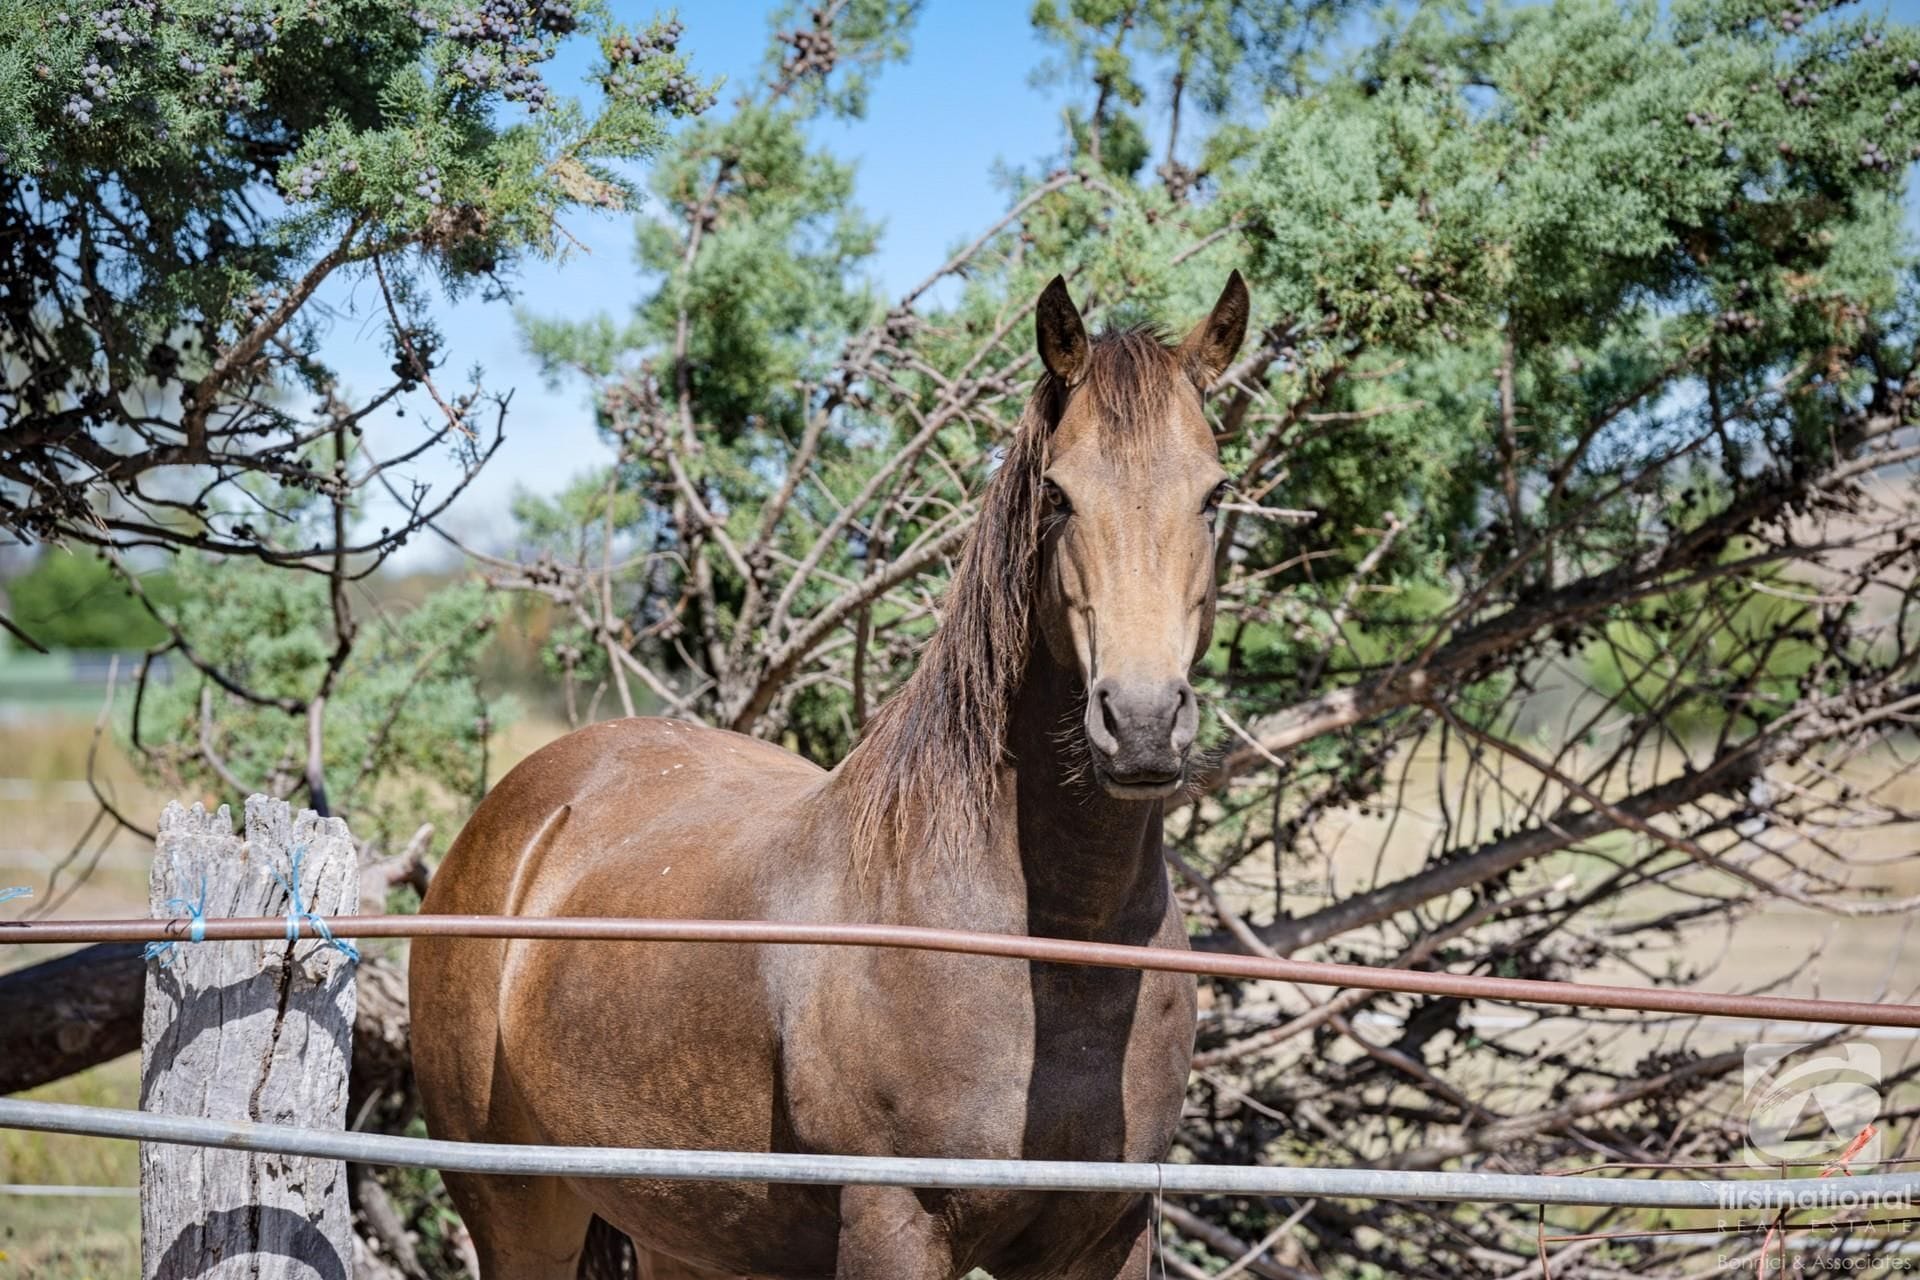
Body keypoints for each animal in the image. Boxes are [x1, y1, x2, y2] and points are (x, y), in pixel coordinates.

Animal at [412, 272, 1251, 1280]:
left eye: (1214, 493)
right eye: (1057, 493)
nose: (1142, 723)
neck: (1054, 948)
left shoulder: (1108, 1234)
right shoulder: (894, 1226)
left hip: (682, 1232)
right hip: (518, 1212)